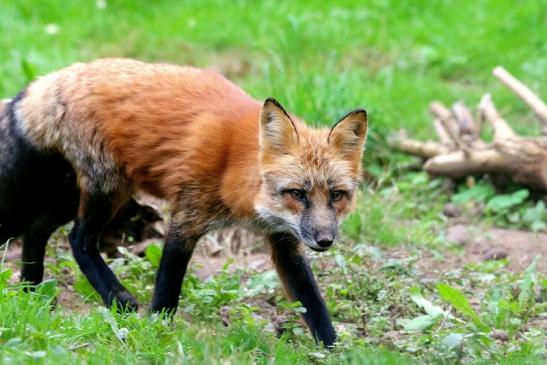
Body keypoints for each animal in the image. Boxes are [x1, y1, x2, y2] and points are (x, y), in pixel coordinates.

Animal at [1, 58, 368, 346]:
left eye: (336, 195)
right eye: (297, 194)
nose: (325, 240)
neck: (232, 166)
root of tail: (53, 78)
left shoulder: (283, 240)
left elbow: (313, 303)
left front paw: (334, 350)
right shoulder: (185, 219)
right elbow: (167, 287)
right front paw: (156, 332)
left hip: (77, 194)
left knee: (37, 229)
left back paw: (31, 291)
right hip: (105, 190)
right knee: (78, 240)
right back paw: (115, 296)